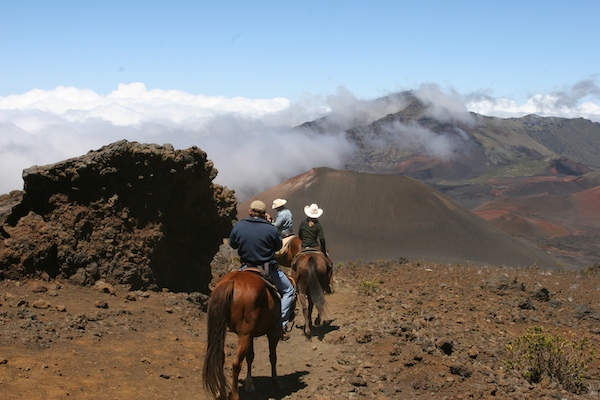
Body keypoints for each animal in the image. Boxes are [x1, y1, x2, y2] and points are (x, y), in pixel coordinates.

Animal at [203, 268, 282, 400]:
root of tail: (232, 281)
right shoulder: (271, 333)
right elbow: (273, 356)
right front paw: (276, 381)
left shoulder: (251, 335)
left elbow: (250, 356)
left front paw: (249, 384)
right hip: (245, 334)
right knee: (236, 363)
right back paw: (235, 395)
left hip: (234, 332)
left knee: (221, 358)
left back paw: (222, 392)